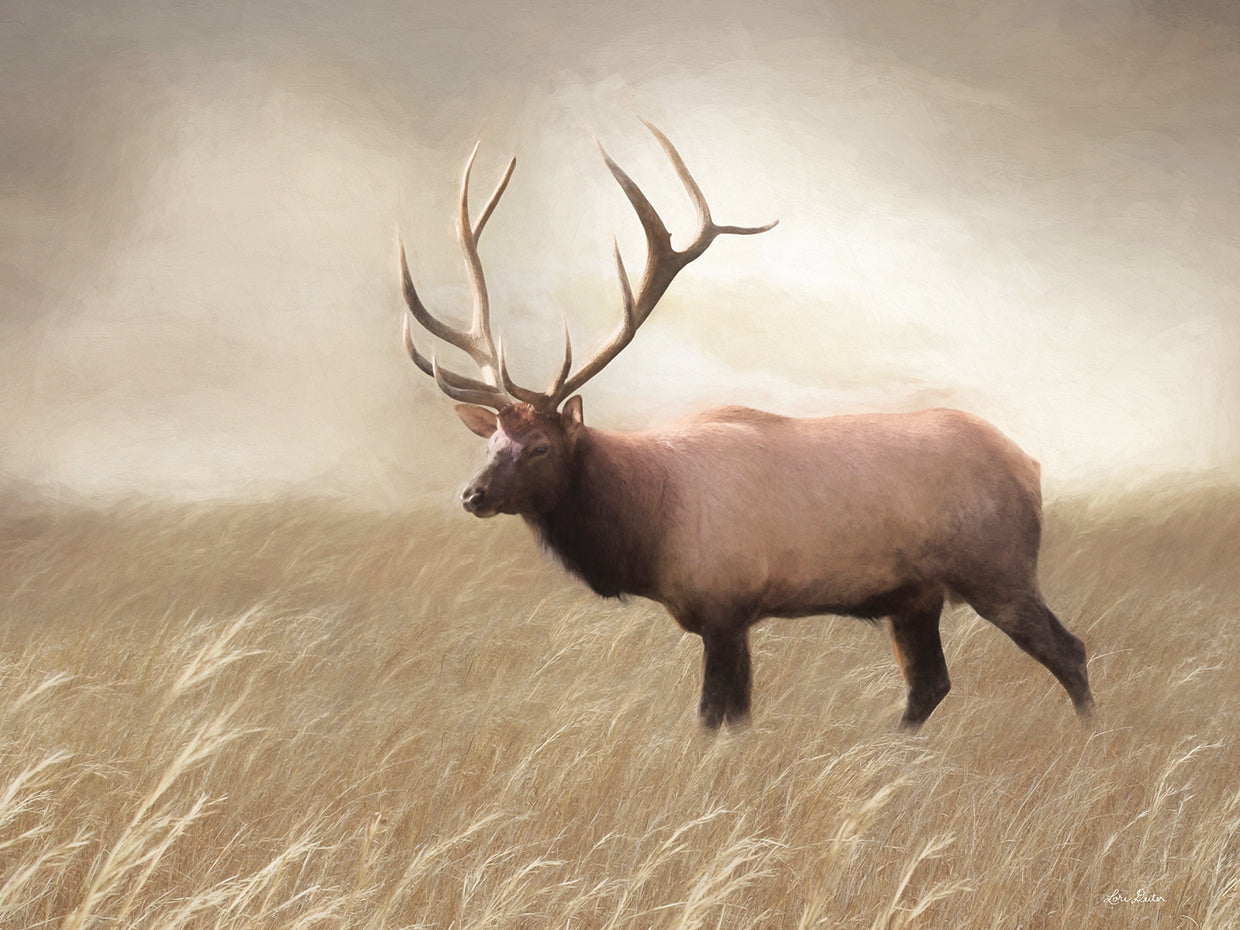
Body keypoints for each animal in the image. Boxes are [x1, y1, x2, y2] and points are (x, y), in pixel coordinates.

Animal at [396, 121, 1094, 731]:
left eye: (539, 446)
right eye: (491, 439)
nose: (472, 495)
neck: (649, 525)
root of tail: (1031, 464)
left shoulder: (725, 605)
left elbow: (712, 716)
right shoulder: (734, 616)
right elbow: (739, 716)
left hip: (998, 568)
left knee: (1070, 652)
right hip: (916, 598)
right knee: (931, 684)